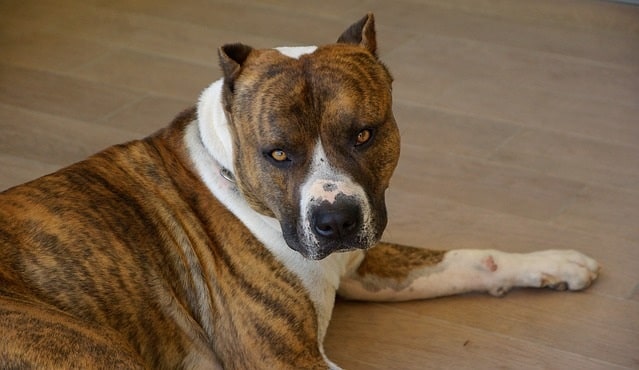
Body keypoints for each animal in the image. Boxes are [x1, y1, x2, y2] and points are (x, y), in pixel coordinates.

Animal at [0, 13, 600, 368]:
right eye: (278, 154)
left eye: (364, 134)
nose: (335, 222)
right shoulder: (286, 360)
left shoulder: (364, 264)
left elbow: (471, 259)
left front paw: (554, 263)